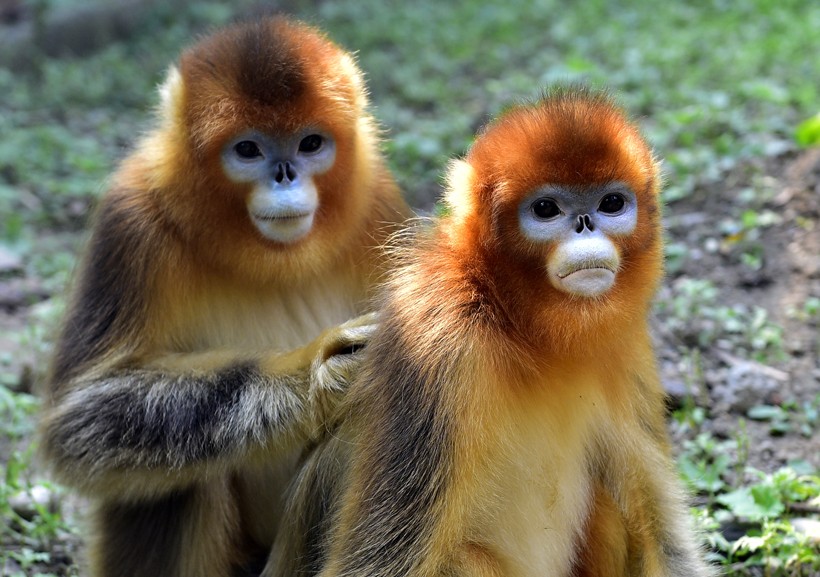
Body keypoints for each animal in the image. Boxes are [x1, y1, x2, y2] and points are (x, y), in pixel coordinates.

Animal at [268, 85, 712, 576]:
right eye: (546, 209)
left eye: (611, 203)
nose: (585, 225)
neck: (520, 327)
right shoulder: (438, 341)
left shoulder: (624, 340)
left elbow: (659, 525)